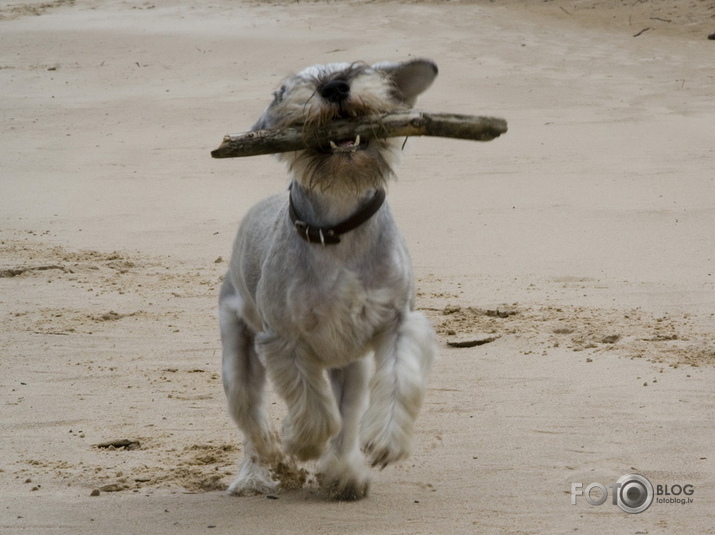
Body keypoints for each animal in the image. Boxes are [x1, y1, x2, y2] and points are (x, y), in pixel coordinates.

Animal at [221, 56, 440, 500]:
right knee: (249, 413)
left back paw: (343, 474)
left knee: (347, 418)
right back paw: (257, 467)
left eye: (363, 69)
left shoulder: (399, 322)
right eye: (284, 90)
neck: (338, 228)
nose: (336, 87)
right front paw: (300, 441)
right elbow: (313, 407)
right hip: (237, 351)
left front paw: (386, 440)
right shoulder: (283, 340)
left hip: (349, 368)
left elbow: (398, 381)